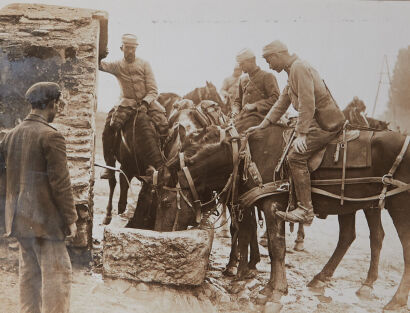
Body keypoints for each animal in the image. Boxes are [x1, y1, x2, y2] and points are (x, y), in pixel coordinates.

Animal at [167, 123, 410, 310]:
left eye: (165, 197)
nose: (169, 230)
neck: (245, 158)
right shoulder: (264, 207)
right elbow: (270, 247)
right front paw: (265, 287)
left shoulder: (272, 205)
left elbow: (276, 248)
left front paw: (274, 292)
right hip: (357, 204)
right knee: (356, 236)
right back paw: (335, 281)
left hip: (397, 204)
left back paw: (395, 300)